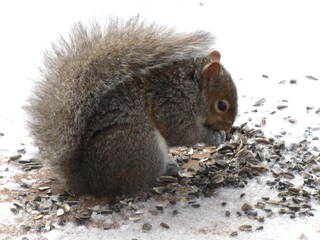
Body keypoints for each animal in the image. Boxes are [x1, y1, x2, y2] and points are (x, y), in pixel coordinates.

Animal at [26, 17, 238, 197]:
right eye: (222, 105)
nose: (228, 128)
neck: (190, 89)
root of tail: (88, 183)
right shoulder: (172, 105)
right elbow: (182, 133)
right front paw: (213, 137)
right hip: (142, 145)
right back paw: (166, 171)